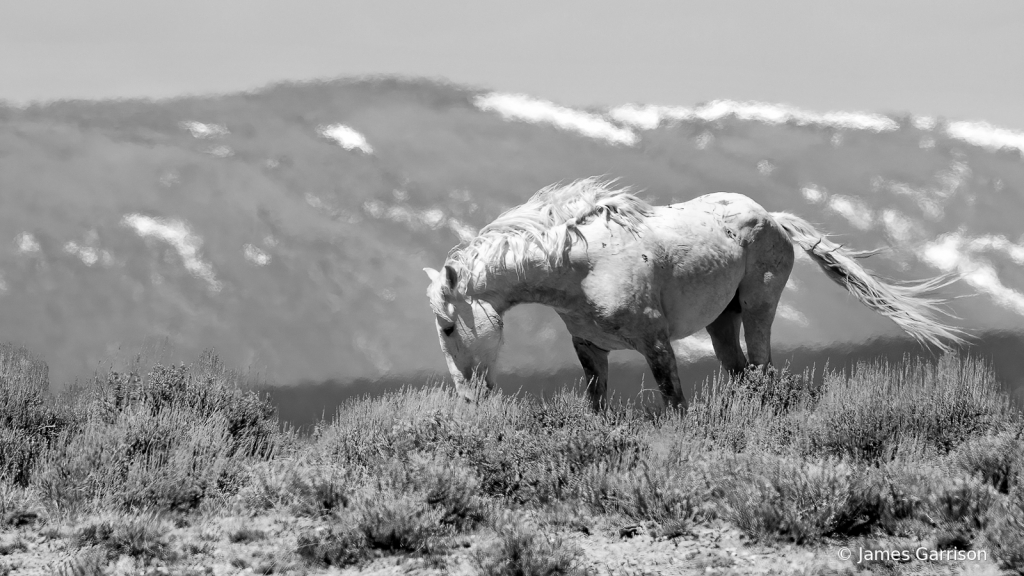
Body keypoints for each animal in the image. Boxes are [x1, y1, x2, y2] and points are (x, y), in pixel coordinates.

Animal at [421, 178, 958, 407]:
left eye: (448, 326)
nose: (467, 398)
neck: (581, 266)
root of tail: (773, 218)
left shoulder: (656, 343)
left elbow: (674, 402)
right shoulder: (590, 349)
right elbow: (597, 408)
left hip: (760, 308)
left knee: (762, 372)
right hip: (723, 321)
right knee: (742, 374)